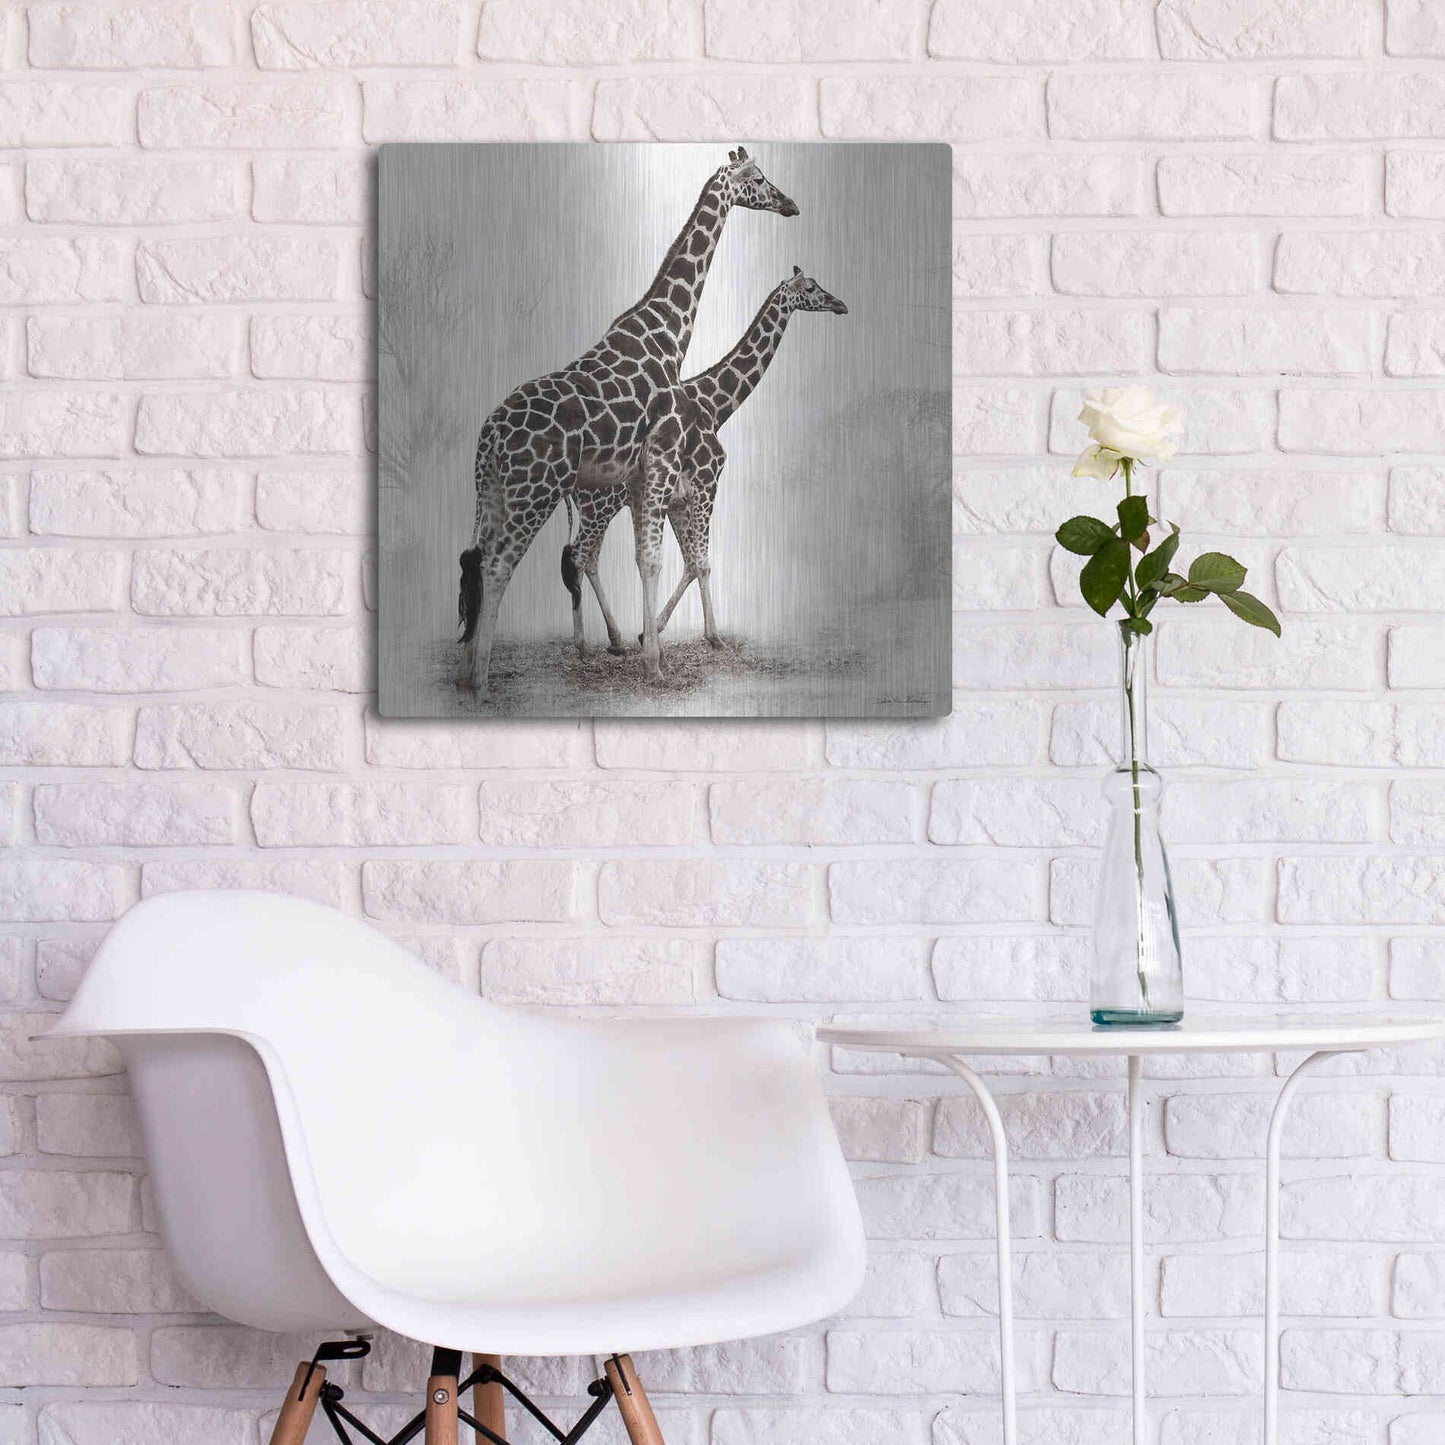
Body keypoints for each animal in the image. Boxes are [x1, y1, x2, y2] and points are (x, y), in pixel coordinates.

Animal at [458, 148, 797, 697]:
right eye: (760, 178)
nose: (790, 205)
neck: (668, 333)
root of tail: (488, 438)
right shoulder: (662, 462)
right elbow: (659, 559)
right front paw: (655, 662)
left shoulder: (644, 476)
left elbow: (649, 559)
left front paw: (647, 650)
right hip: (535, 492)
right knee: (501, 564)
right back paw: (484, 681)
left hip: (493, 493)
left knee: (480, 558)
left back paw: (469, 668)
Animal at [565, 267, 849, 655]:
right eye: (810, 288)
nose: (840, 305)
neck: (715, 406)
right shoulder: (707, 483)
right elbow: (702, 562)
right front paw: (713, 636)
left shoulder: (678, 500)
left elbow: (688, 562)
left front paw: (651, 631)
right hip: (600, 506)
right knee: (580, 556)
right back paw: (586, 644)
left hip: (597, 508)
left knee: (586, 557)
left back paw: (612, 639)